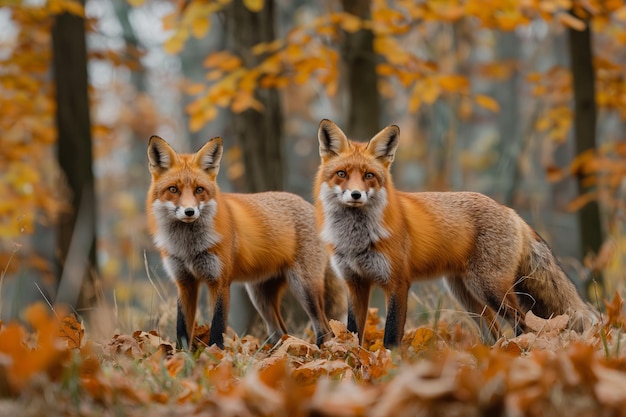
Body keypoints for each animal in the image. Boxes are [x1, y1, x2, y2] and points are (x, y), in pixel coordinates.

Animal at [312, 118, 596, 348]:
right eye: (341, 174)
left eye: (369, 175)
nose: (355, 195)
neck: (356, 239)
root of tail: (510, 210)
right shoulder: (354, 283)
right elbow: (353, 332)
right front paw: (354, 362)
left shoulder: (397, 282)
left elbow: (391, 336)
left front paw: (389, 367)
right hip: (466, 295)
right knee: (496, 332)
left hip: (490, 289)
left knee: (522, 323)